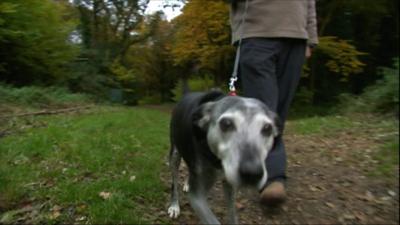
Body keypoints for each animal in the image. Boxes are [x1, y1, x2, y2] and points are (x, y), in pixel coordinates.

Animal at [167, 90, 280, 224]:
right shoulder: (197, 197)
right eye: (226, 123)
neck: (218, 161)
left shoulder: (229, 185)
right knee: (174, 183)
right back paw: (174, 205)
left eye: (268, 128)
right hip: (174, 155)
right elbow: (212, 220)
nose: (252, 174)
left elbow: (232, 214)